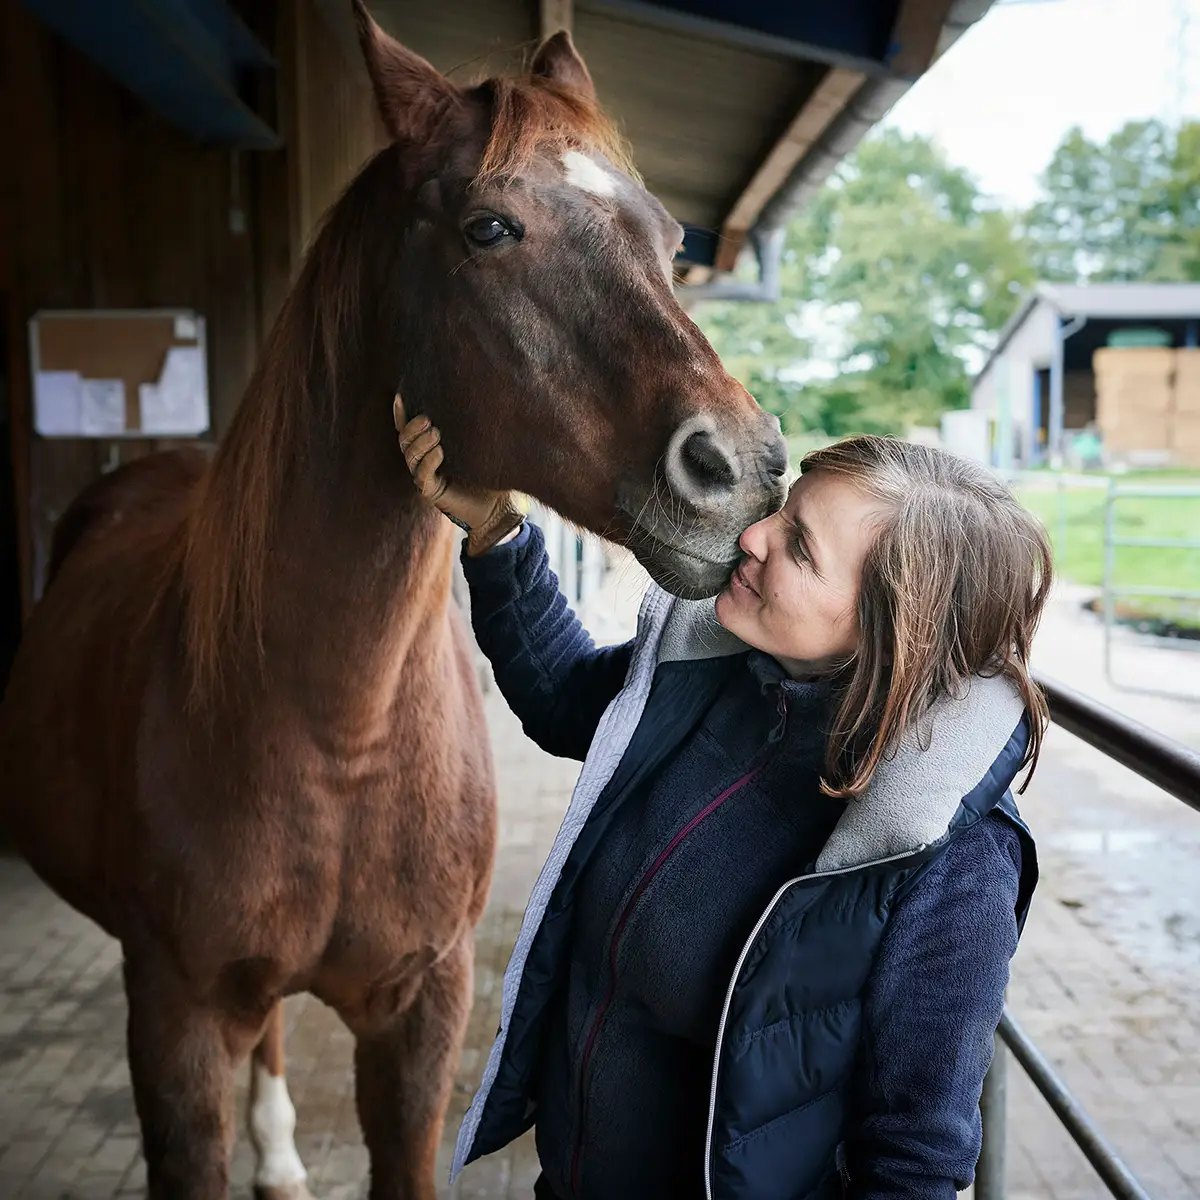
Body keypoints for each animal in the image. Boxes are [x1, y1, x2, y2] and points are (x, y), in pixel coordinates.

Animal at [0, 4, 788, 1197]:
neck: (337, 731)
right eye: (489, 228)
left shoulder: (422, 1014)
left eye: (666, 238)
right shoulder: (177, 1022)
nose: (741, 472)